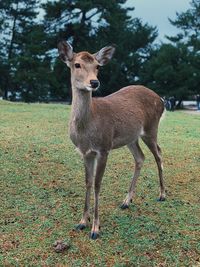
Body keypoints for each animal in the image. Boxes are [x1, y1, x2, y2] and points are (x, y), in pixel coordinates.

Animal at [57, 41, 165, 241]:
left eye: (97, 66)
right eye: (77, 64)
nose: (94, 82)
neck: (86, 130)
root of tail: (161, 100)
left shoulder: (104, 148)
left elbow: (98, 184)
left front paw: (95, 229)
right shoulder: (85, 152)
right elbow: (88, 182)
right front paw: (82, 222)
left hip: (151, 129)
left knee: (159, 154)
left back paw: (162, 194)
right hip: (132, 137)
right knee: (140, 157)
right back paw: (126, 201)